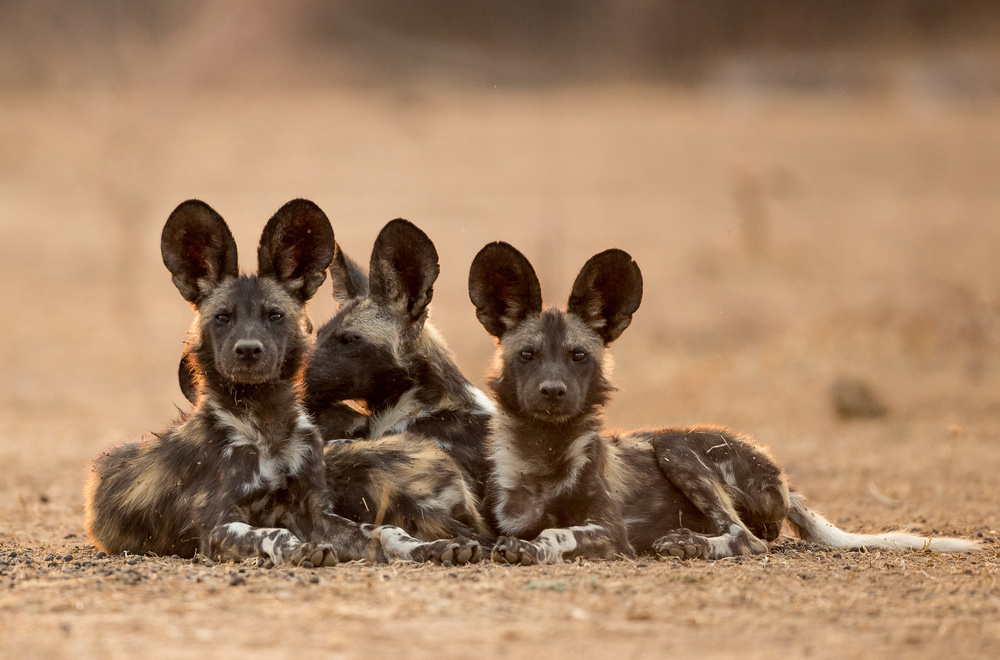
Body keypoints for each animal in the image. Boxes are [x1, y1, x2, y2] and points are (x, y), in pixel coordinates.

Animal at [82, 201, 480, 568]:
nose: (248, 350)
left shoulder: (317, 512)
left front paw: (433, 548)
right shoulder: (218, 527)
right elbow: (274, 533)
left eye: (275, 316)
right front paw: (301, 549)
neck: (266, 421)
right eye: (223, 317)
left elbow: (384, 531)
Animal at [468, 242, 976, 564]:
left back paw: (691, 544)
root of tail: (784, 480)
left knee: (748, 539)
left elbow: (557, 532)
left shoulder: (609, 532)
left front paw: (533, 549)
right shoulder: (504, 518)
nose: (553, 391)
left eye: (578, 356)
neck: (545, 455)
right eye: (528, 355)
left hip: (675, 447)